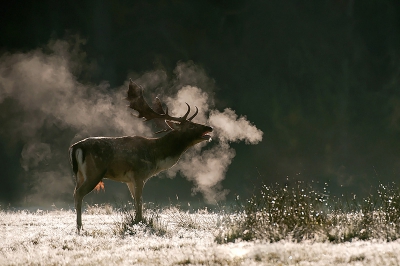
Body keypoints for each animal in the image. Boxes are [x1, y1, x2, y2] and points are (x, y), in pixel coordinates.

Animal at [69, 79, 212, 233]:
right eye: (191, 126)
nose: (209, 128)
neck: (156, 156)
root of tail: (75, 147)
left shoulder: (129, 180)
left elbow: (135, 201)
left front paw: (137, 220)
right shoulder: (139, 174)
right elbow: (139, 200)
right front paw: (139, 221)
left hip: (79, 175)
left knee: (75, 193)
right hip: (94, 172)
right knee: (79, 194)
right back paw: (80, 227)